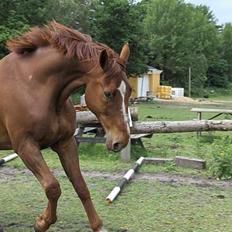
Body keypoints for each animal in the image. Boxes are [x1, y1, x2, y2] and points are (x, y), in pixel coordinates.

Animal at [0, 21, 130, 230]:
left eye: (130, 91)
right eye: (108, 93)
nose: (122, 141)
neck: (33, 86)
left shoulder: (65, 143)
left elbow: (80, 186)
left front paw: (97, 226)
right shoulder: (25, 146)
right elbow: (53, 187)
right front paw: (42, 222)